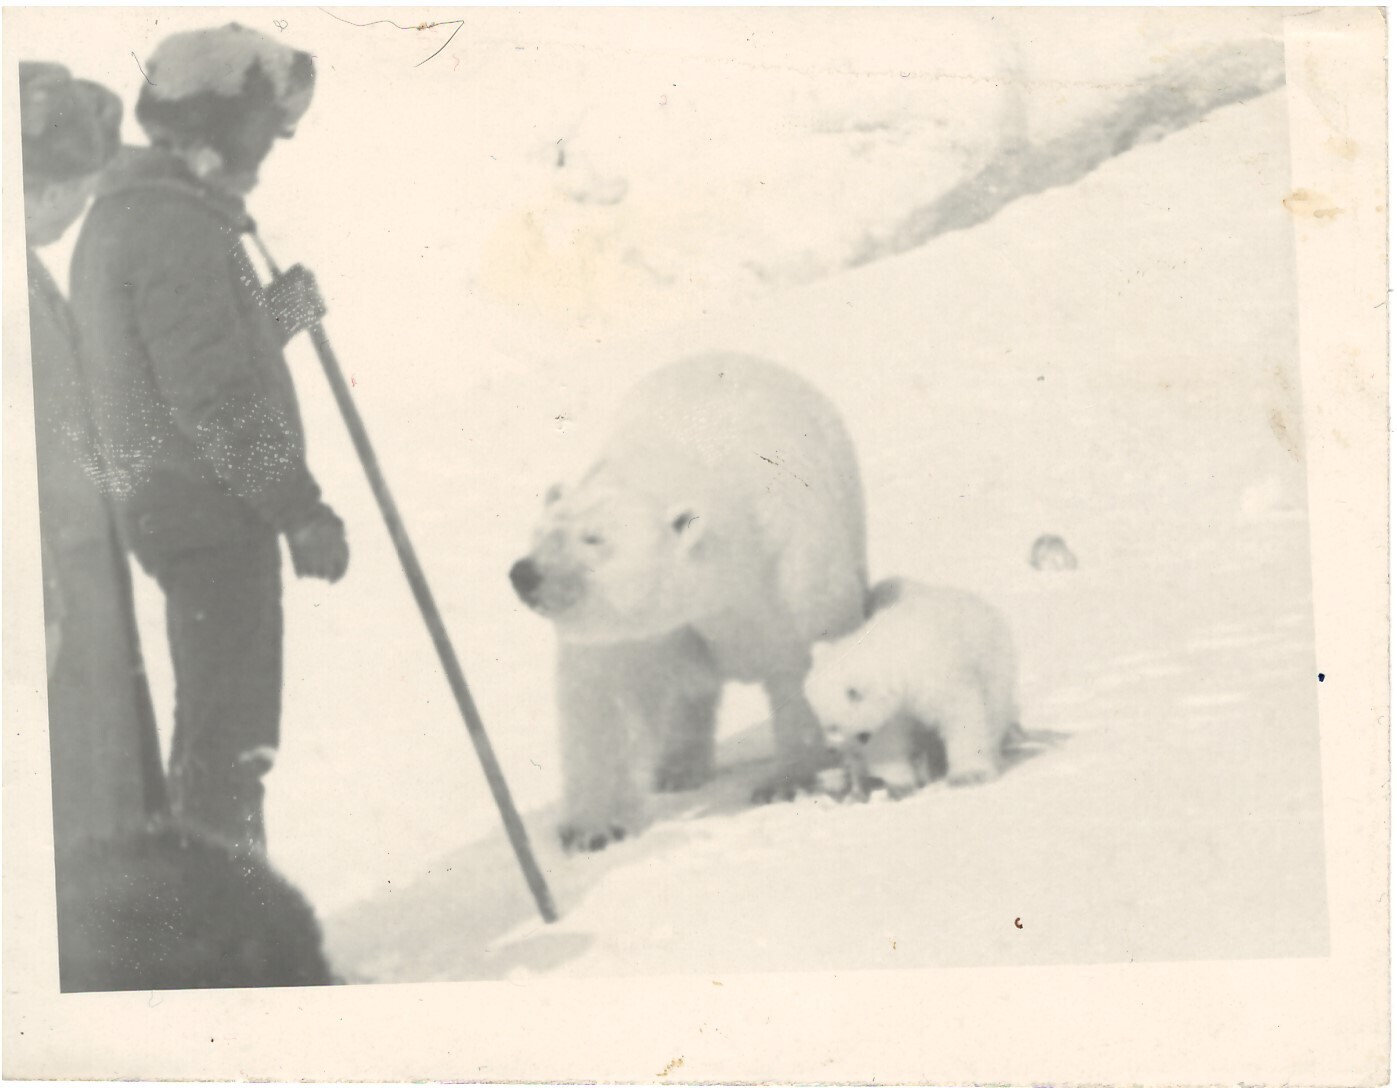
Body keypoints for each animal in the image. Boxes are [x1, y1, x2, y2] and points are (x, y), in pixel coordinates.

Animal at [508, 354, 866, 849]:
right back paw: (676, 769)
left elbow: (797, 668)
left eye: (594, 539)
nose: (525, 574)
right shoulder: (639, 631)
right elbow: (603, 702)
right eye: (541, 532)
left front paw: (790, 780)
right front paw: (591, 829)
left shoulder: (785, 579)